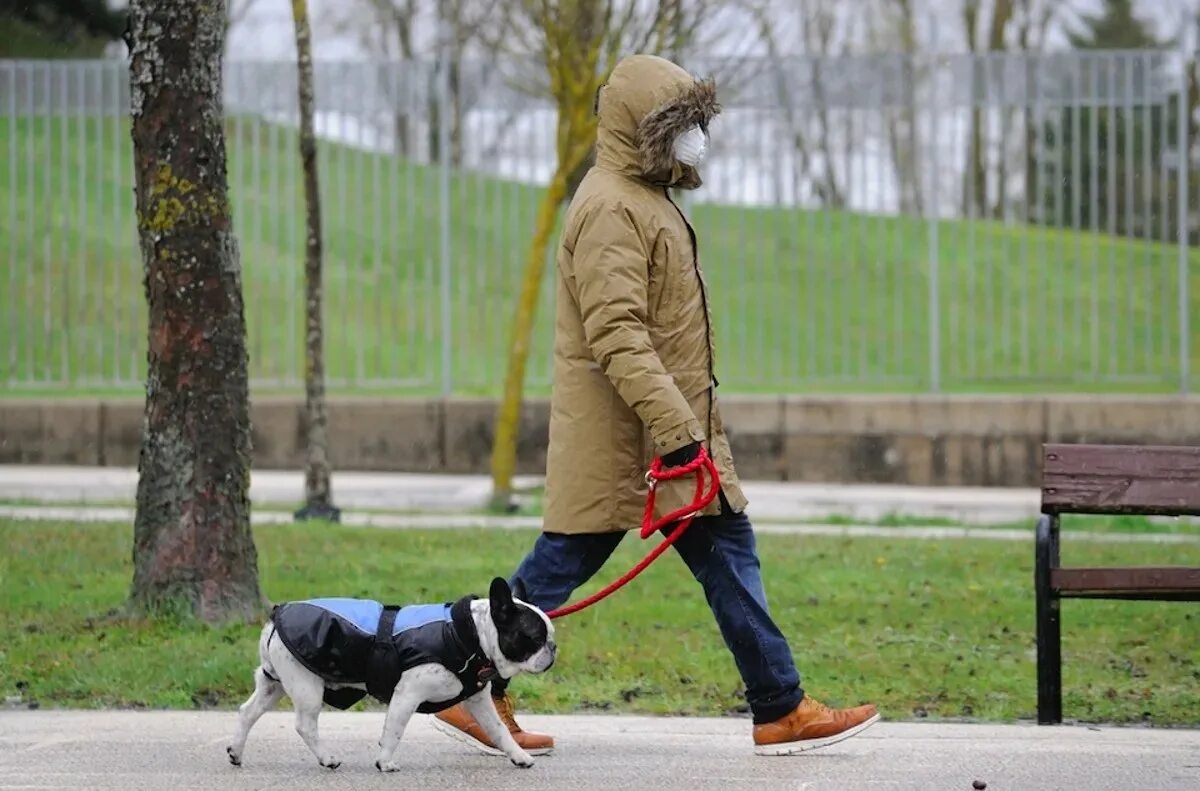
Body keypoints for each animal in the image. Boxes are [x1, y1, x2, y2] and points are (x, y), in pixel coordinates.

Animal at [226, 578, 554, 768]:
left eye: (549, 636)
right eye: (534, 638)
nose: (553, 648)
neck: (470, 634)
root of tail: (276, 615)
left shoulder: (478, 701)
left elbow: (498, 731)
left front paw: (519, 756)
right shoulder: (408, 694)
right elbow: (394, 730)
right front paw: (384, 762)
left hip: (275, 683)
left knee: (248, 712)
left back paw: (236, 752)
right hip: (307, 686)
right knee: (305, 725)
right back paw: (327, 759)